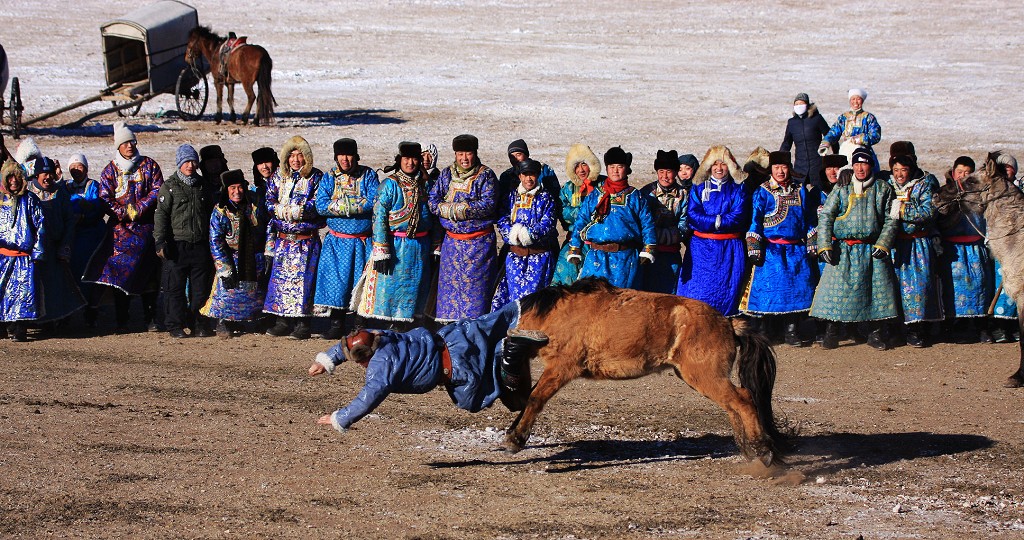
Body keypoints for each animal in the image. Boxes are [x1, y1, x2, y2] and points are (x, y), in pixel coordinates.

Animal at [512, 278, 790, 465]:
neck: (555, 314)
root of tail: (728, 323)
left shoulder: (561, 367)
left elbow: (535, 398)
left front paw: (515, 439)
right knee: (734, 405)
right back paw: (748, 449)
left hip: (707, 377)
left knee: (744, 400)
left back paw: (762, 450)